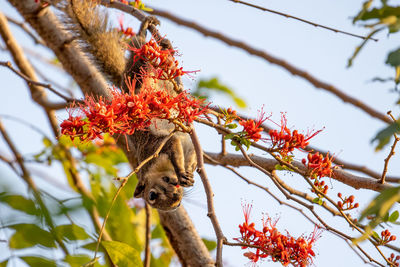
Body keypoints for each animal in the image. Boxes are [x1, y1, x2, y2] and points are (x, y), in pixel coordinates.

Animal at [62, 0, 197, 211]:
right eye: (152, 196)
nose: (175, 197)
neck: (155, 168)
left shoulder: (158, 148)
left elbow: (182, 151)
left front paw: (185, 172)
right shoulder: (164, 148)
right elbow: (181, 148)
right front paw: (185, 173)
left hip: (139, 68)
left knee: (141, 49)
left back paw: (154, 39)